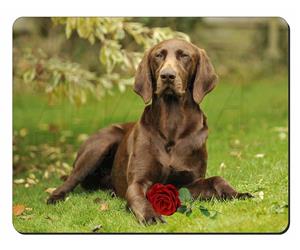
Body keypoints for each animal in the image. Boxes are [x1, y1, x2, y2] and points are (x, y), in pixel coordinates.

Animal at [47, 39, 252, 225]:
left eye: (184, 56)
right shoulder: (138, 182)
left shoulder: (187, 183)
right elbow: (139, 199)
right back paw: (55, 196)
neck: (172, 123)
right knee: (72, 178)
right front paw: (150, 215)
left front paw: (237, 193)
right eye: (158, 55)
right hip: (101, 143)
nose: (167, 75)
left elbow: (217, 179)